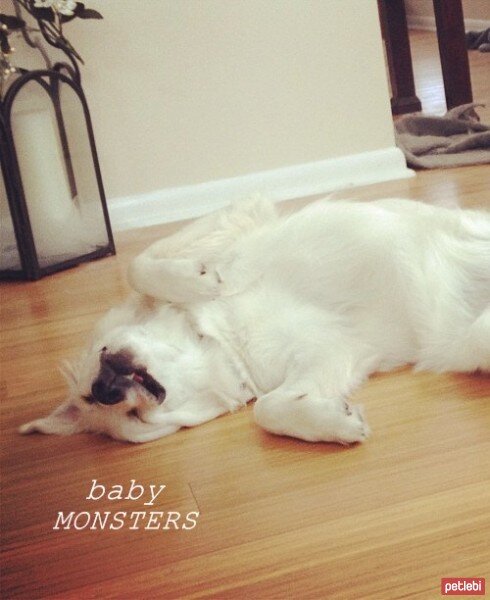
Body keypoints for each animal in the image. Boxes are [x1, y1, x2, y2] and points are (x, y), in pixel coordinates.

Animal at [19, 196, 490, 440]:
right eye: (134, 419)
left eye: (99, 355)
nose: (104, 390)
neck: (224, 336)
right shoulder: (334, 353)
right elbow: (267, 409)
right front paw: (334, 421)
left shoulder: (242, 211)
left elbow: (140, 263)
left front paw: (199, 282)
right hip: (468, 343)